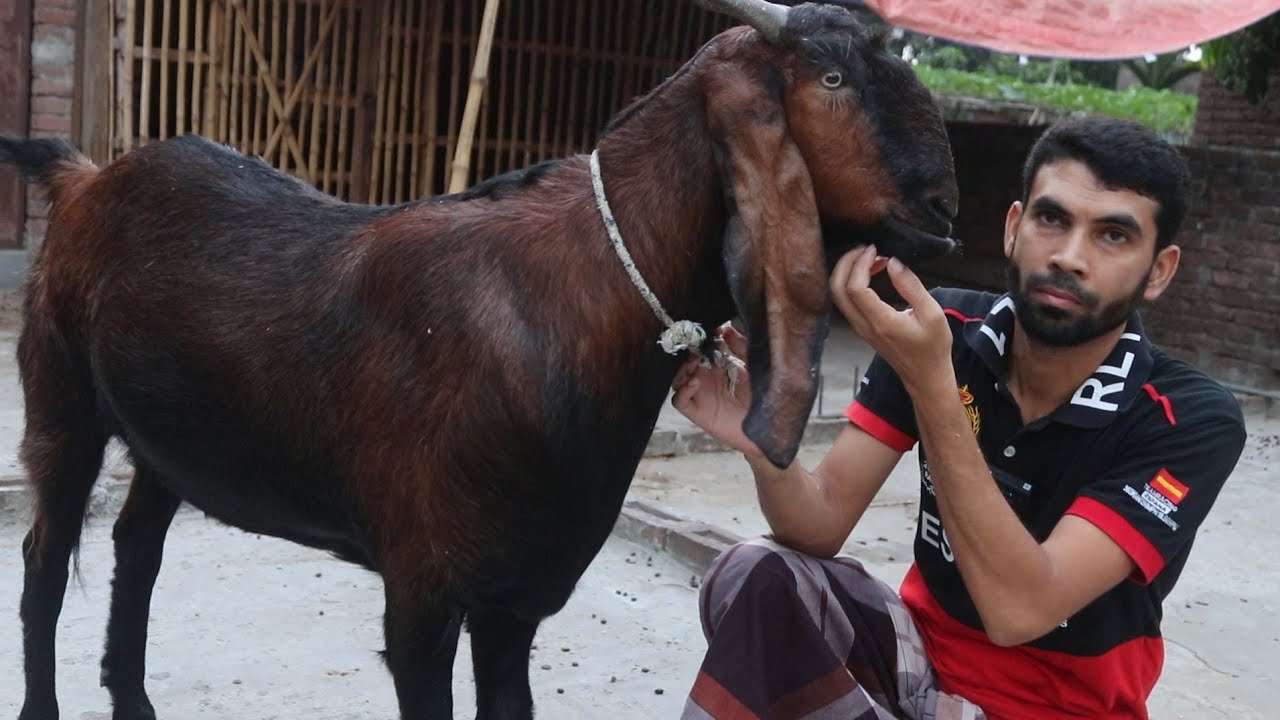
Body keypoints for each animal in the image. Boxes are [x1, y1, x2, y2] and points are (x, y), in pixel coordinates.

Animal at [3, 1, 958, 718]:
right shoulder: (421, 591)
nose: (947, 207)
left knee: (136, 546)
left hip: (169, 440)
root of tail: (86, 178)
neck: (563, 310)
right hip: (60, 401)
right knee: (46, 561)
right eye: (831, 79)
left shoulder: (520, 597)